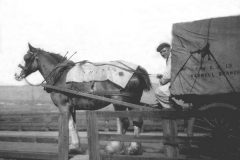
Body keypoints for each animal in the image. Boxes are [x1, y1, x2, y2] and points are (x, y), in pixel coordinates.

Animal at [14, 43, 152, 155]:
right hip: (132, 102)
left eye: (26, 58)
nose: (17, 75)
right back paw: (133, 148)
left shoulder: (64, 105)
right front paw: (76, 147)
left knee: (124, 122)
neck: (61, 75)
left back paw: (114, 147)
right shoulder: (72, 107)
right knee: (137, 121)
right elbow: (74, 125)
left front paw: (72, 147)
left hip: (119, 101)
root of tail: (136, 70)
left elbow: (69, 125)